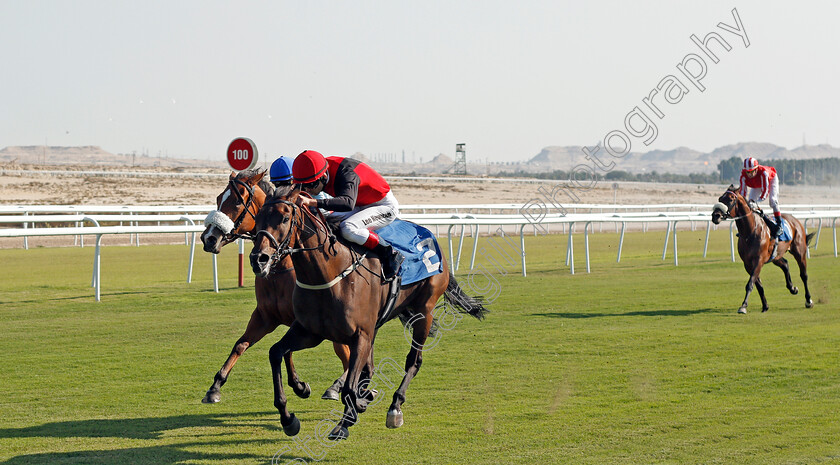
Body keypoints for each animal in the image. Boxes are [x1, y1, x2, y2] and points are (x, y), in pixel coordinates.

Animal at [199, 170, 350, 402]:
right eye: (217, 199)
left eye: (236, 201)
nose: (209, 238)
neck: (279, 270)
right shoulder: (264, 316)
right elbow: (241, 344)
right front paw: (215, 386)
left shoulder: (301, 320)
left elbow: (286, 350)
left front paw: (298, 385)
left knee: (347, 355)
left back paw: (339, 386)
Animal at [249, 188, 486, 438]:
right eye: (258, 218)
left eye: (285, 218)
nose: (258, 259)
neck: (329, 275)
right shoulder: (309, 332)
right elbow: (276, 352)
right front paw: (288, 417)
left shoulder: (360, 335)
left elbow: (350, 385)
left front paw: (345, 422)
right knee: (369, 368)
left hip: (424, 312)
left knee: (413, 361)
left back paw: (394, 407)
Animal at [708, 184, 812, 312]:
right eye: (720, 199)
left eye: (731, 199)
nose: (715, 216)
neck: (750, 231)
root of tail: (795, 220)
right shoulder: (748, 263)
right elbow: (758, 284)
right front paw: (765, 305)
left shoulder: (759, 260)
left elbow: (750, 283)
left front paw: (743, 306)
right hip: (776, 255)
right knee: (785, 264)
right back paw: (792, 288)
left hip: (799, 251)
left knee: (804, 275)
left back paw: (808, 300)